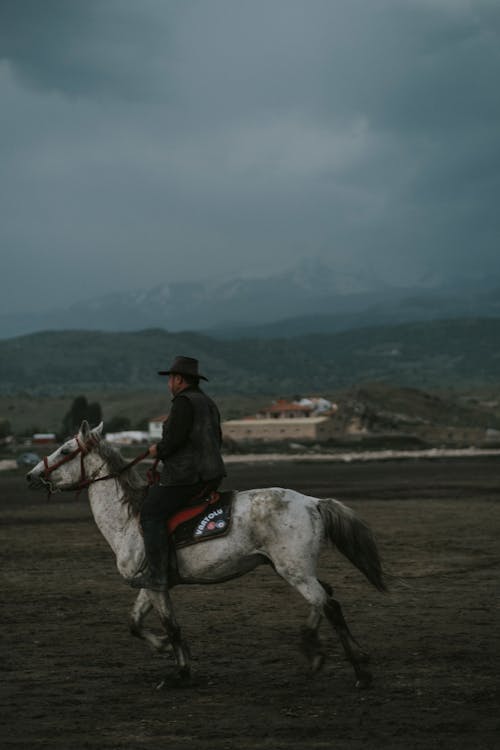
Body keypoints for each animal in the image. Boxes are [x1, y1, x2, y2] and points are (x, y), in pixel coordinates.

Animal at [26, 424, 386, 688]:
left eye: (66, 450)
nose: (31, 475)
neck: (129, 518)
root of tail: (313, 502)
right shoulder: (151, 583)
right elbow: (135, 623)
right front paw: (163, 648)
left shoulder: (155, 586)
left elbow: (172, 626)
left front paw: (180, 672)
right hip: (291, 568)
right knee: (326, 598)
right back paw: (340, 655)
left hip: (294, 570)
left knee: (328, 604)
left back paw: (354, 670)